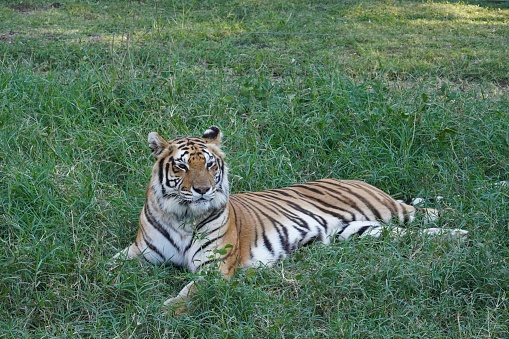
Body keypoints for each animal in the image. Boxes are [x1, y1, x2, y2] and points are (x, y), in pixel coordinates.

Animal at [113, 126, 466, 312]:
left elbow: (190, 292)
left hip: (388, 210)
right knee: (411, 234)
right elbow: (110, 266)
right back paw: (453, 236)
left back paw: (461, 225)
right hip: (362, 231)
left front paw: (165, 309)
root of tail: (356, 179)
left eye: (211, 164)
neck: (183, 215)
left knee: (425, 213)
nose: (202, 190)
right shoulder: (140, 252)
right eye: (182, 166)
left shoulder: (214, 268)